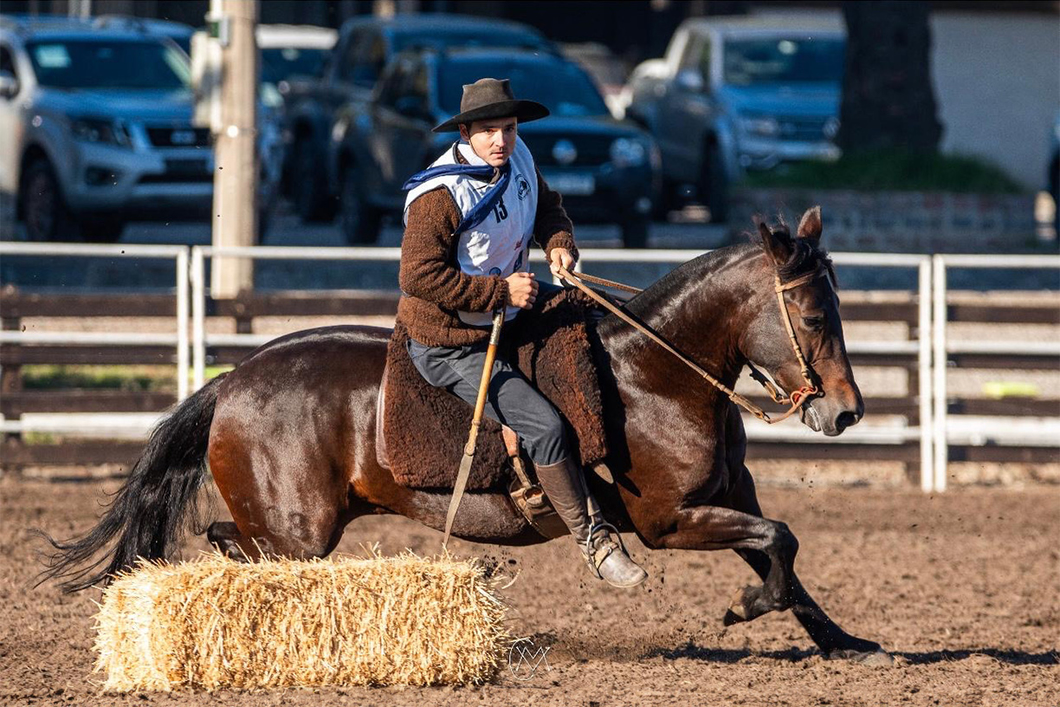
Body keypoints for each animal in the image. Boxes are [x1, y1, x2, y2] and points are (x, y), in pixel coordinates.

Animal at [37, 208, 890, 665]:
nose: (846, 411)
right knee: (237, 552)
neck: (653, 373)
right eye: (812, 312)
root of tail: (233, 379)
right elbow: (780, 544)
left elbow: (787, 558)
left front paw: (846, 641)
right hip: (295, 530)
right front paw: (744, 608)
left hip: (290, 531)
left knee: (227, 547)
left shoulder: (725, 499)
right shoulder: (669, 522)